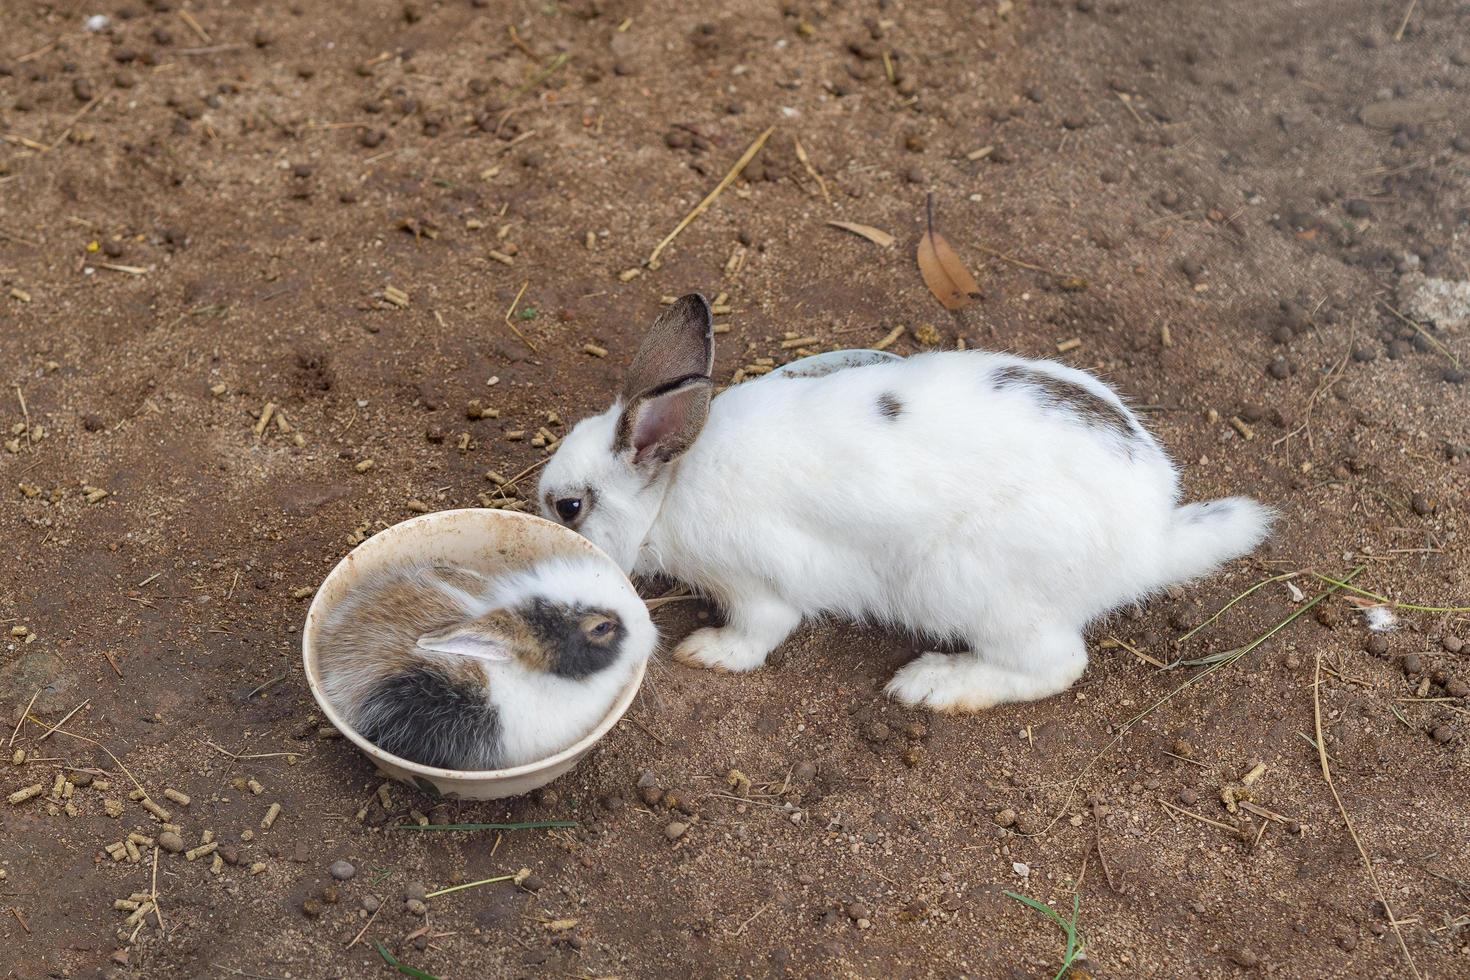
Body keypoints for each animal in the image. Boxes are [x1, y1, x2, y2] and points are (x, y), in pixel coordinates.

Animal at [540, 290, 1275, 714]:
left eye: (569, 507)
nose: (548, 518)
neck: (670, 488)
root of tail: (1151, 542)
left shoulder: (756, 584)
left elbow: (760, 632)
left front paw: (708, 652)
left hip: (971, 585)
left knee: (1058, 664)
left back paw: (934, 685)